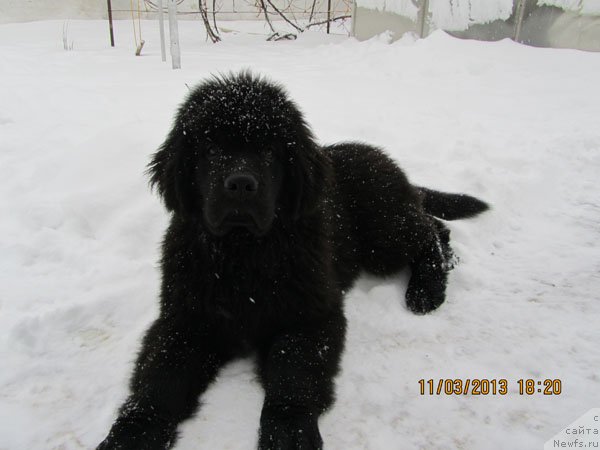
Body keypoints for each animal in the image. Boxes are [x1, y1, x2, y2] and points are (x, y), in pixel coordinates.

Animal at [97, 72, 488, 448]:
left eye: (269, 151)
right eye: (210, 148)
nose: (240, 184)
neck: (242, 253)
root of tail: (384, 161)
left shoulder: (309, 315)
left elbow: (293, 369)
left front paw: (288, 429)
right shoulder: (185, 318)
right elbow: (160, 376)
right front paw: (131, 434)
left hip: (384, 232)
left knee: (430, 234)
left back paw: (426, 291)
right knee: (434, 225)